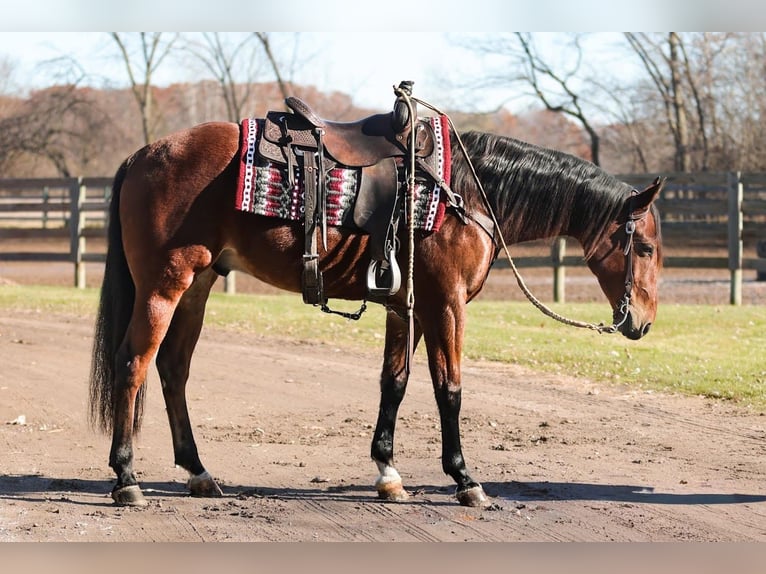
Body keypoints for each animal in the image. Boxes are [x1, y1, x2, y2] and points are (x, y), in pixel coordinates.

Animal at [88, 115, 663, 508]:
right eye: (646, 248)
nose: (642, 323)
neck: (466, 194)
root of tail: (143, 155)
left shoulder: (406, 308)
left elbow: (396, 382)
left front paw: (388, 473)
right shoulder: (445, 304)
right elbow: (448, 388)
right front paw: (466, 480)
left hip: (198, 286)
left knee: (172, 369)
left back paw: (198, 472)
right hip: (164, 287)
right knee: (133, 365)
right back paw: (127, 480)